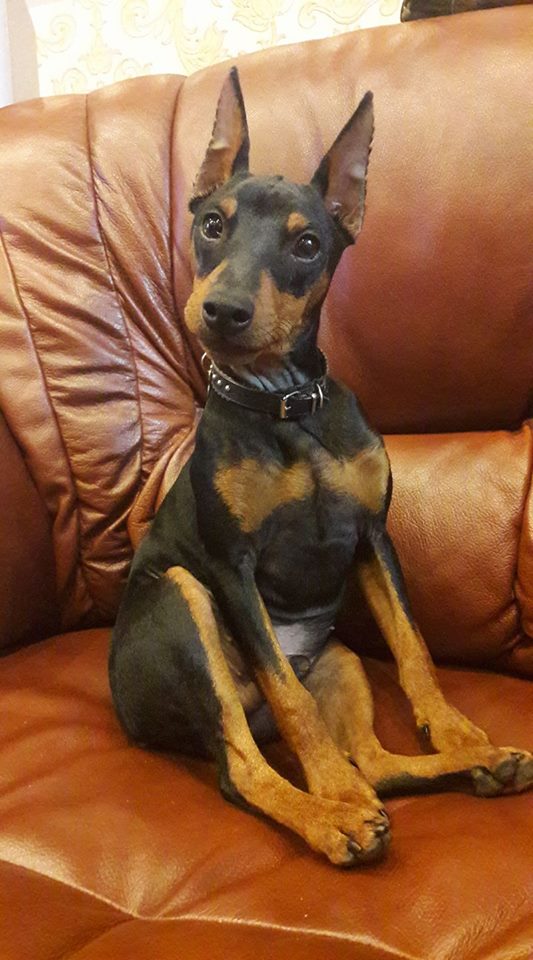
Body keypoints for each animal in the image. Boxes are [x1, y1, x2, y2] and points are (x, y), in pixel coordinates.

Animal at [109, 67, 533, 867]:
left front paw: (456, 728)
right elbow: (290, 699)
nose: (223, 312)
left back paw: (477, 763)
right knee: (244, 764)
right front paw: (335, 795)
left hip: (338, 659)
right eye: (211, 225)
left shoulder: (370, 534)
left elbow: (412, 647)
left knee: (373, 758)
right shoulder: (229, 567)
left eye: (307, 244)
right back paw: (335, 813)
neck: (285, 407)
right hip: (184, 604)